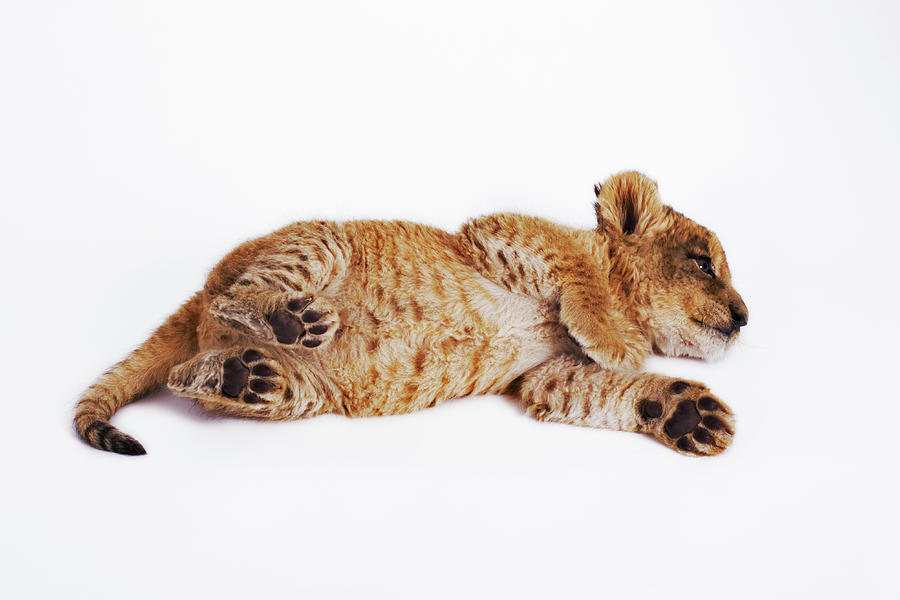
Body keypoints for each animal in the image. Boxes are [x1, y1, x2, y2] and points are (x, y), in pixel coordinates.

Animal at [75, 171, 748, 456]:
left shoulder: (544, 378)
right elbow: (576, 268)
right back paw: (294, 320)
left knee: (187, 375)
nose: (745, 318)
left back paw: (237, 375)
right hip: (317, 241)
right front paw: (614, 338)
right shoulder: (497, 231)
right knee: (230, 299)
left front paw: (690, 415)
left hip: (304, 392)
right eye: (704, 264)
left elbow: (608, 392)